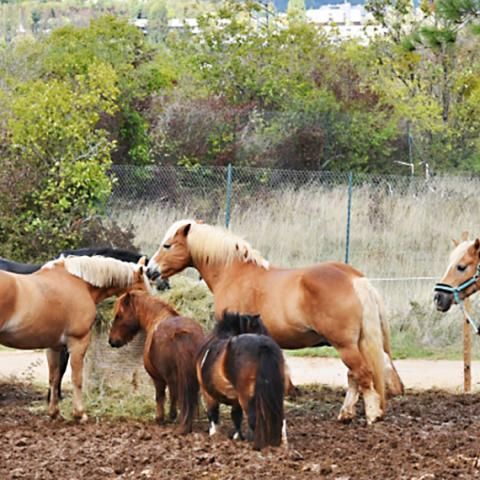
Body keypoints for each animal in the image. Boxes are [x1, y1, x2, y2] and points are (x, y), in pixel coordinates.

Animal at [108, 290, 203, 434]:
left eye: (118, 315)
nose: (112, 341)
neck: (157, 318)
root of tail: (181, 332)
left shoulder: (157, 378)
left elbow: (160, 396)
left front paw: (160, 418)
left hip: (171, 378)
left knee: (175, 395)